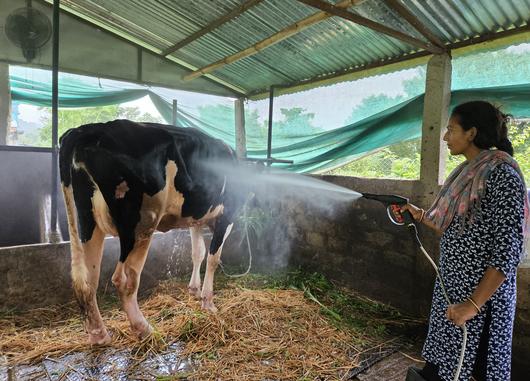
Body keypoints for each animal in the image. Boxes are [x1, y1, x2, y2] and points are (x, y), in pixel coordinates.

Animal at [59, 119, 239, 344]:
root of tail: (88, 129)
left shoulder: (196, 219)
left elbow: (198, 253)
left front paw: (194, 291)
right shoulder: (227, 215)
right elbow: (214, 258)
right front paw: (208, 303)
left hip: (87, 220)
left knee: (88, 279)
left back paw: (99, 335)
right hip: (142, 223)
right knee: (125, 279)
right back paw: (144, 329)